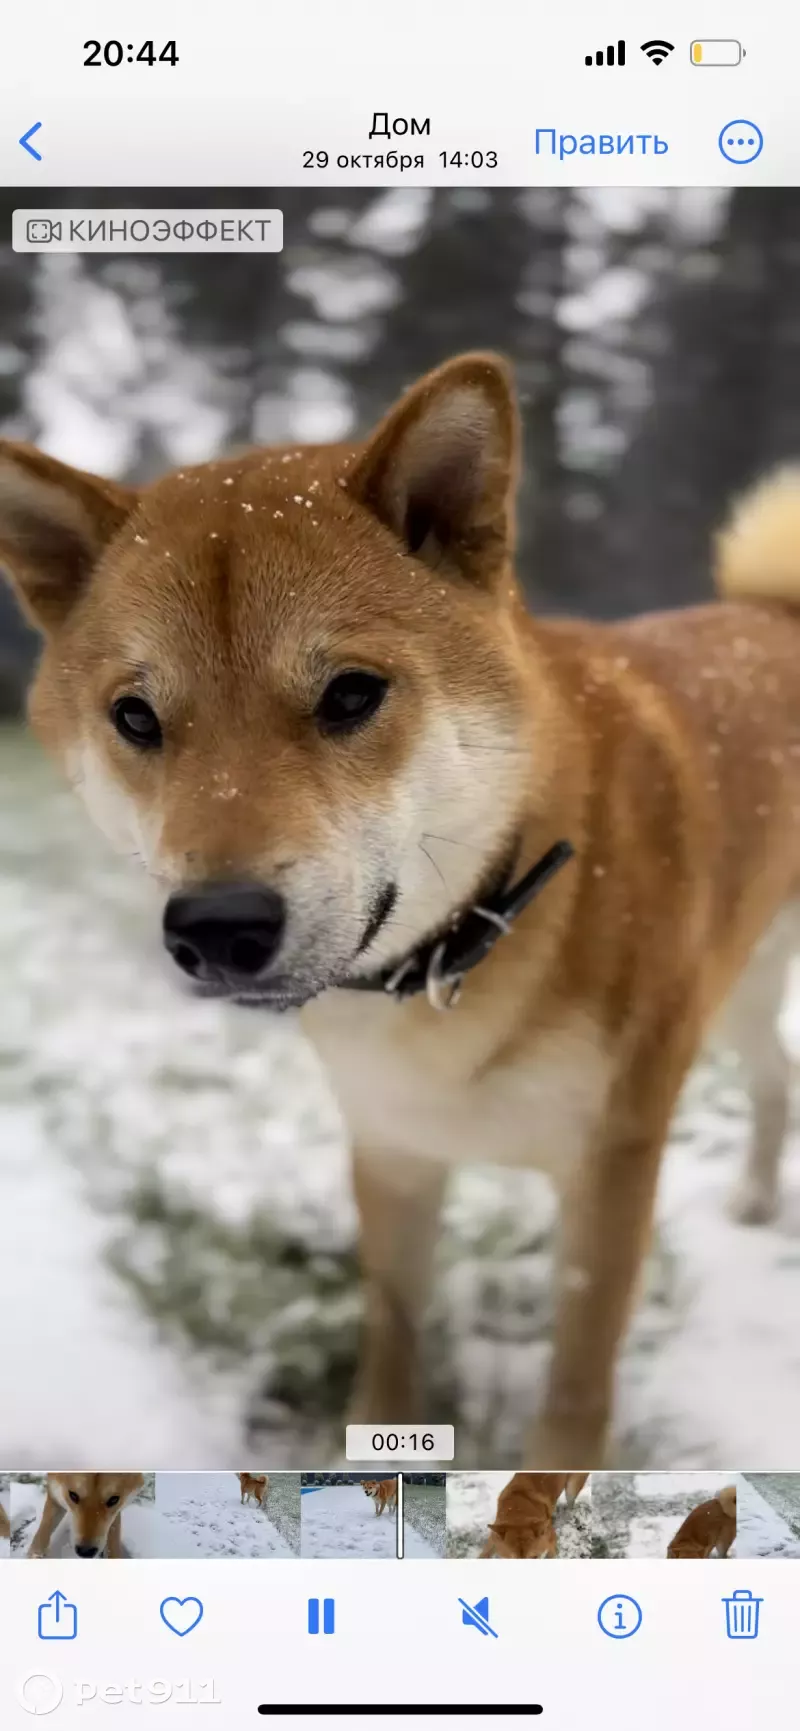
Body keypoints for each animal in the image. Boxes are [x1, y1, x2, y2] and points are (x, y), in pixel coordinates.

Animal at [1, 358, 800, 1467]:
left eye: (349, 694)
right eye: (135, 717)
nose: (217, 927)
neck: (468, 941)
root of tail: (772, 612)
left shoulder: (611, 1167)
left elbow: (575, 1386)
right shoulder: (392, 1148)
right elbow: (391, 1334)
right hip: (735, 985)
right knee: (776, 1069)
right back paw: (758, 1196)